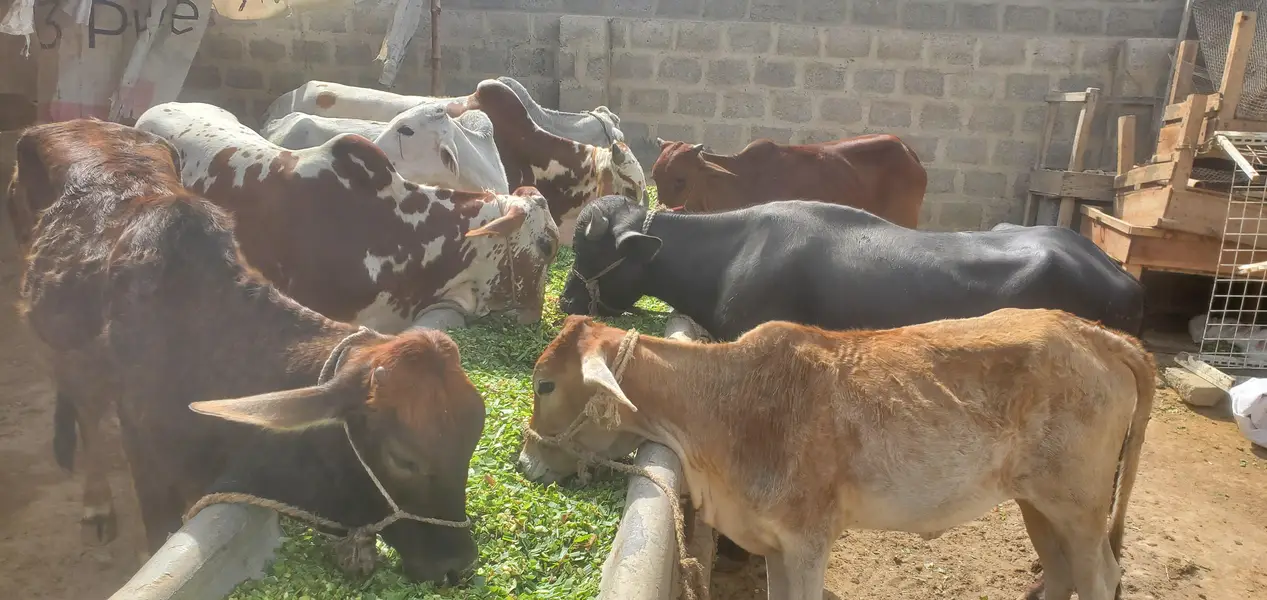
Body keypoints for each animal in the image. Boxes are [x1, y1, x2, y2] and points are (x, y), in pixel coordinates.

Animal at [8, 118, 485, 584]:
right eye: (403, 458)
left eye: (472, 442)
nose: (457, 565)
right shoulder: (145, 455)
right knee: (85, 409)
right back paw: (97, 505)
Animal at [520, 309, 1154, 600]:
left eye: (545, 384)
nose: (526, 461)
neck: (728, 406)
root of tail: (1092, 332)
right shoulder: (774, 544)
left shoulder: (807, 541)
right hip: (1039, 505)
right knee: (1063, 570)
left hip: (1080, 507)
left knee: (1101, 575)